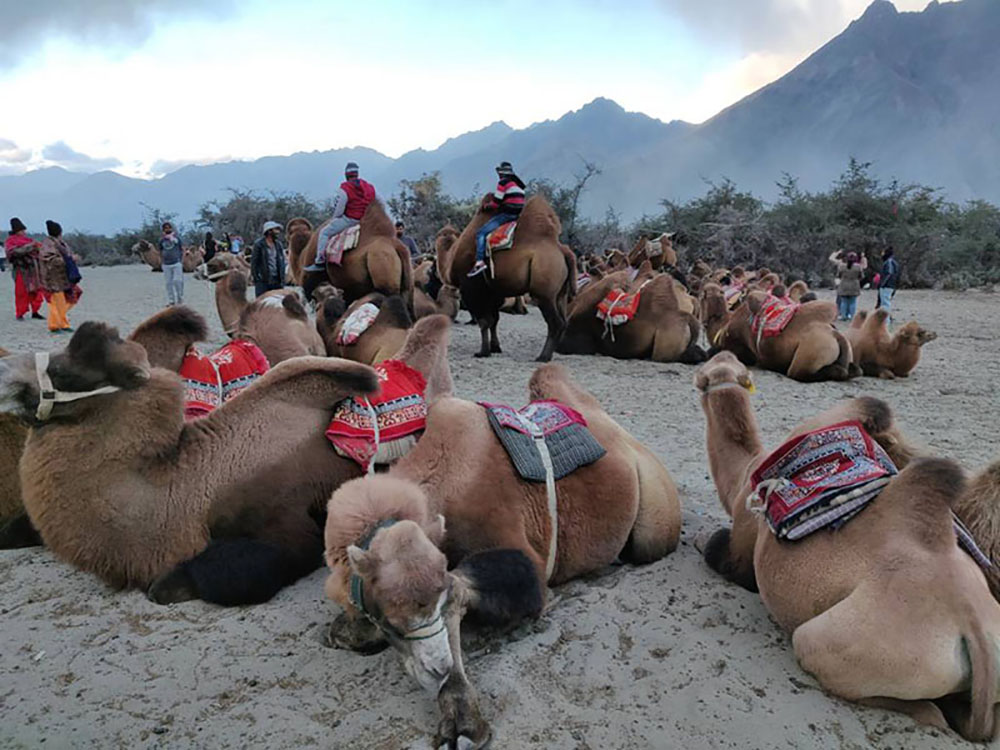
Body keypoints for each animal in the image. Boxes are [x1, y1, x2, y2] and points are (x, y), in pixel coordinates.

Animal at [324, 362, 684, 748]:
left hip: (655, 524)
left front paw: (463, 722)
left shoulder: (515, 549)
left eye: (438, 602)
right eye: (388, 623)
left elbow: (487, 586)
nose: (436, 669)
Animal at [442, 192, 576, 360]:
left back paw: (543, 357)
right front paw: (495, 348)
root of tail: (563, 251)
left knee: (555, 322)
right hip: (561, 294)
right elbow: (494, 320)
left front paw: (483, 352)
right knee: (563, 321)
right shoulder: (493, 291)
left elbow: (484, 321)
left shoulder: (472, 288)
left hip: (545, 294)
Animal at [696, 354, 1000, 748]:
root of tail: (973, 627)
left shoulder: (743, 546)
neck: (745, 474)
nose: (718, 355)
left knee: (924, 711)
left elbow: (718, 552)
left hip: (842, 645)